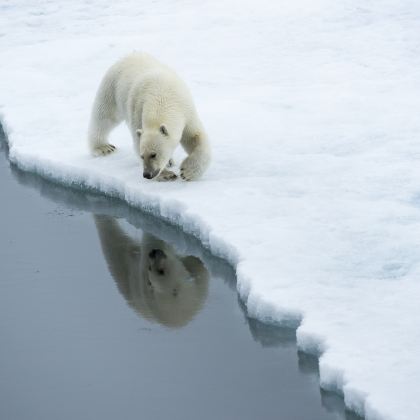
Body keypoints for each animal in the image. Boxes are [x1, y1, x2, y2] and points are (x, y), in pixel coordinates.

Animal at [87, 52, 212, 180]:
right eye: (142, 156)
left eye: (154, 154)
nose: (147, 174)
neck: (161, 97)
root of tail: (129, 55)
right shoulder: (137, 112)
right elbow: (137, 140)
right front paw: (167, 174)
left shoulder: (186, 111)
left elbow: (195, 136)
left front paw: (187, 171)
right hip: (112, 86)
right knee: (105, 116)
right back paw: (103, 147)